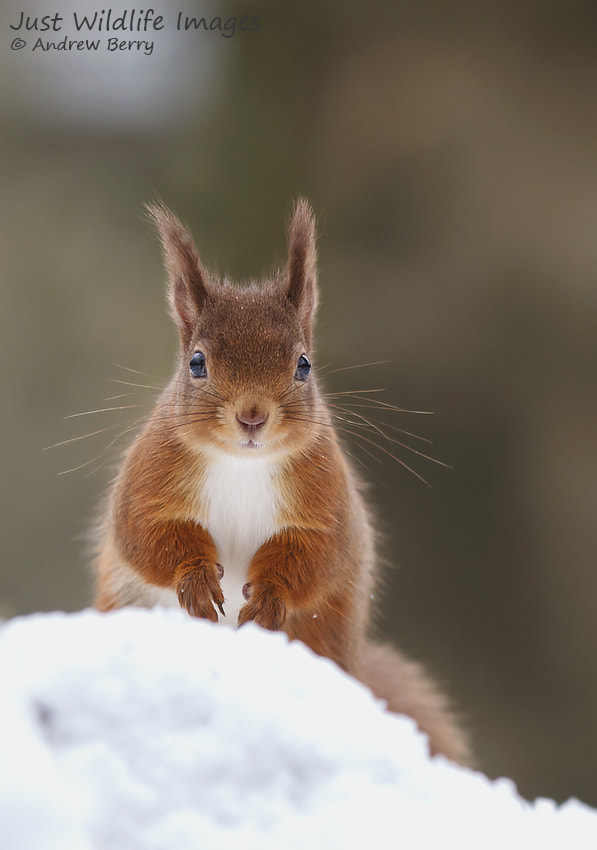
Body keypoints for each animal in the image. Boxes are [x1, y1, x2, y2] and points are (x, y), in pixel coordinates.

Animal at [93, 199, 468, 760]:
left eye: (304, 365)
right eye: (196, 363)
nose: (252, 416)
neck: (242, 464)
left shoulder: (327, 501)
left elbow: (315, 554)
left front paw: (269, 597)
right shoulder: (147, 482)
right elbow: (145, 535)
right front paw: (195, 578)